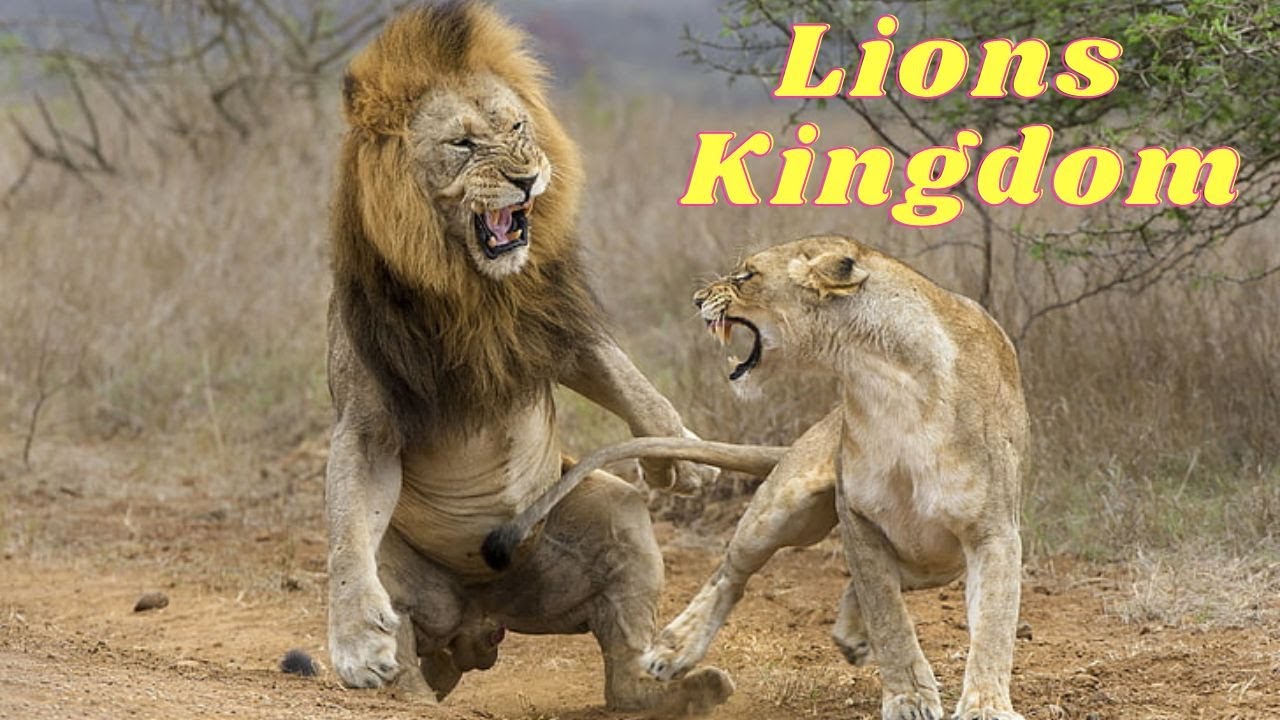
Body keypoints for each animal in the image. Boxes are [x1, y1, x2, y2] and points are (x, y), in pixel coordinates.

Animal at [323, 3, 730, 712]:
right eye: (462, 144)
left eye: (516, 126)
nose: (525, 176)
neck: (475, 291)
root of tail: (478, 617)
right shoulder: (369, 418)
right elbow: (347, 533)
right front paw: (352, 641)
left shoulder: (554, 334)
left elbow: (634, 384)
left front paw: (682, 454)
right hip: (407, 582)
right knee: (403, 643)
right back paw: (410, 691)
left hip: (612, 520)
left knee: (624, 678)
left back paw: (684, 692)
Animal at [492, 235, 1029, 720]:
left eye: (746, 275)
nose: (697, 299)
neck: (881, 380)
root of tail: (824, 426)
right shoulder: (858, 517)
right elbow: (890, 616)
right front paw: (909, 698)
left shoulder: (993, 532)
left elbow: (994, 624)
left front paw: (985, 705)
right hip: (782, 511)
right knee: (731, 574)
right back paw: (673, 648)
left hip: (934, 558)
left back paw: (850, 636)